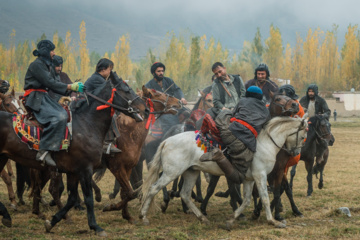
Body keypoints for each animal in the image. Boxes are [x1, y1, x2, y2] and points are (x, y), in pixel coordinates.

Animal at [0, 74, 148, 235]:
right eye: (126, 90)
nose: (145, 109)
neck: (87, 124)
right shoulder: (89, 169)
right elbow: (90, 198)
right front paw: (96, 224)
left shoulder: (75, 172)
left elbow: (73, 198)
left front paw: (52, 222)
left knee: (40, 188)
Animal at [139, 116, 308, 229]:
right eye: (303, 136)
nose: (296, 153)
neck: (264, 144)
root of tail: (167, 141)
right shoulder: (260, 175)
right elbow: (265, 198)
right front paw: (273, 221)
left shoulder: (249, 179)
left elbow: (247, 200)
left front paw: (232, 220)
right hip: (172, 172)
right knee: (153, 189)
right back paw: (143, 216)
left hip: (191, 172)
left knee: (185, 194)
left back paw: (202, 218)